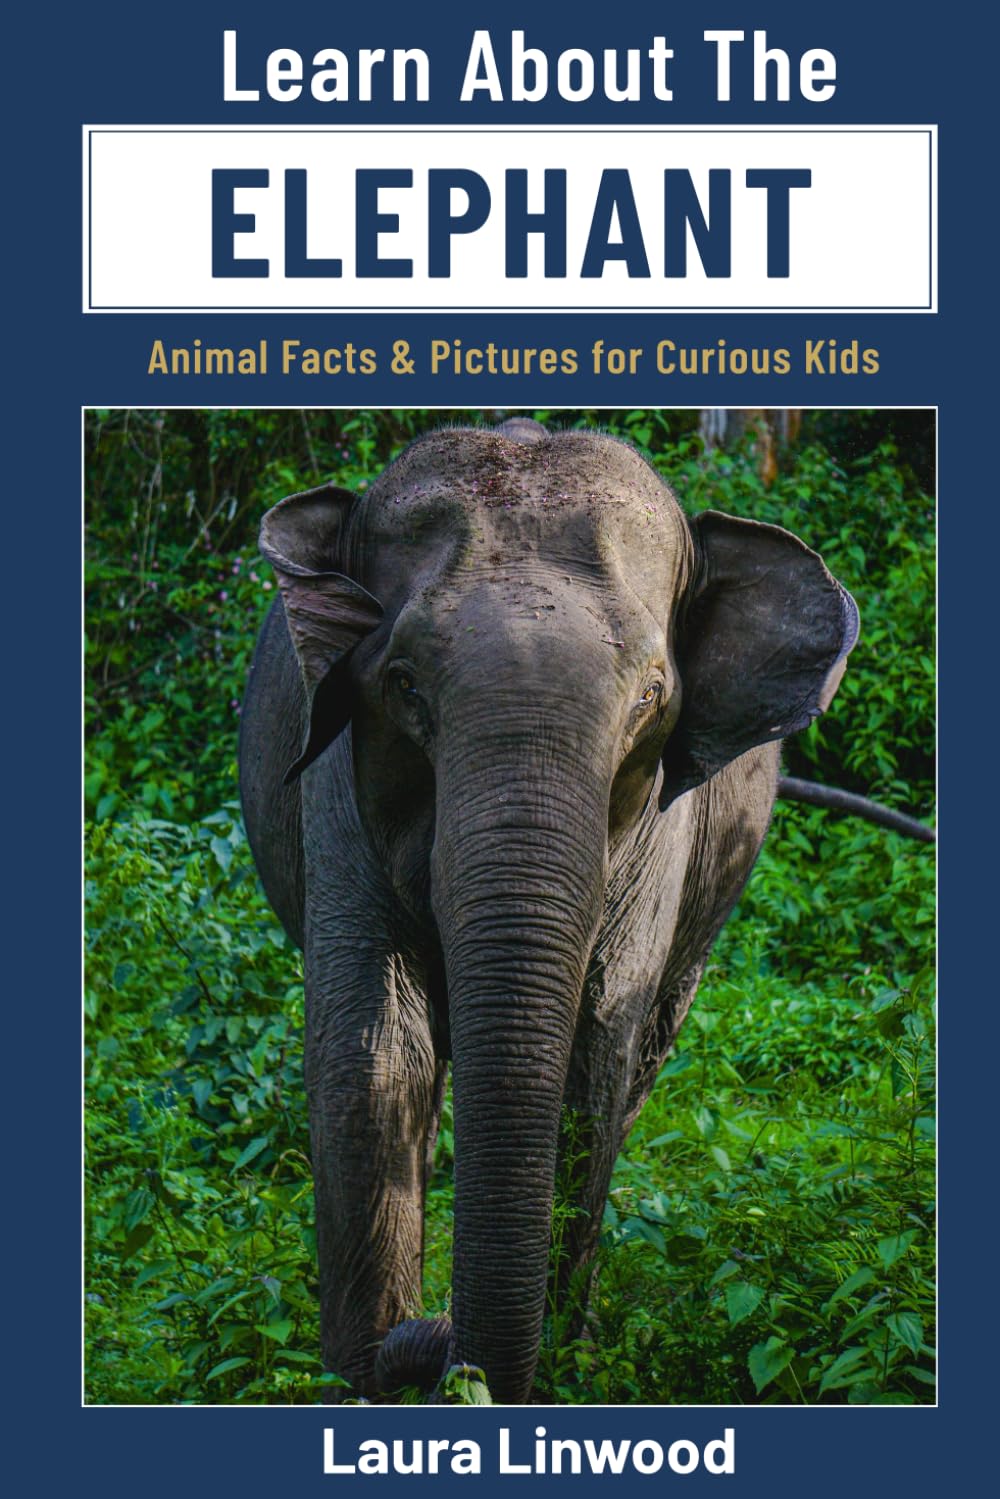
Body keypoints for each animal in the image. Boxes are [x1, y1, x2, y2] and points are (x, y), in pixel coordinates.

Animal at [238, 417, 859, 1404]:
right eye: (403, 682)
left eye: (651, 694)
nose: (433, 1340)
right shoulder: (333, 781)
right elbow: (374, 1049)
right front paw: (353, 1376)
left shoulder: (661, 827)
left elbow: (593, 1048)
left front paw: (565, 1363)